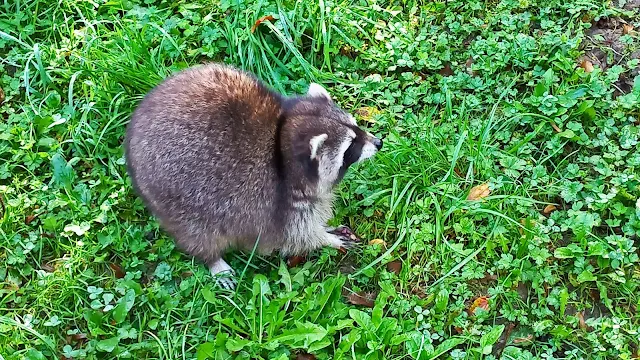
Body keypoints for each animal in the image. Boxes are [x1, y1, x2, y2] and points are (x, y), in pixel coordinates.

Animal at [125, 63, 380, 288]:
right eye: (351, 146)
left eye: (357, 127)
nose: (379, 142)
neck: (281, 145)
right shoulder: (278, 201)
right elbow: (296, 235)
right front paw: (326, 239)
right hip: (175, 198)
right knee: (198, 232)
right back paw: (212, 258)